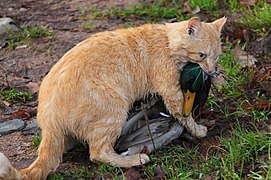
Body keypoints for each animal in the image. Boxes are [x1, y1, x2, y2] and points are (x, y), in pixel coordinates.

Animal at [0, 16, 225, 179]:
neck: (166, 40)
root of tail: (50, 118)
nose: (211, 71)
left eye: (216, 57)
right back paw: (136, 160)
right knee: (97, 153)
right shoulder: (170, 90)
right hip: (114, 110)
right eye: (202, 56)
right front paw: (198, 129)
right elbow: (183, 115)